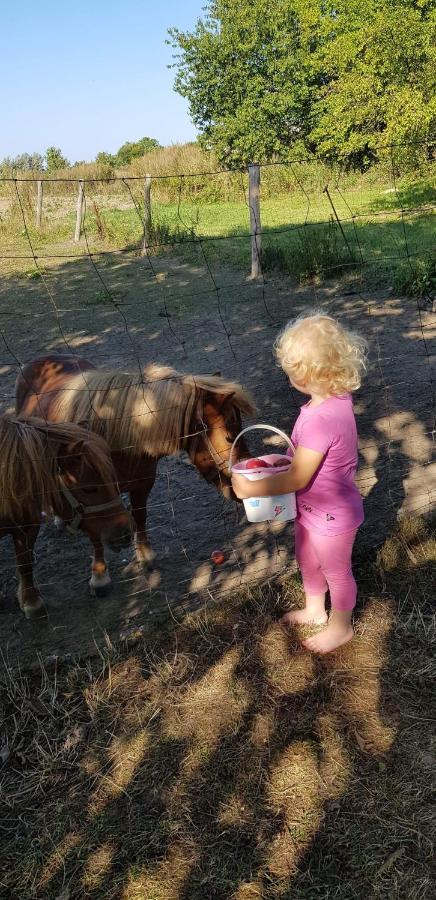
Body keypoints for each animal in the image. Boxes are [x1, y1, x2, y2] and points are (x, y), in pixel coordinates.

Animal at [16, 356, 255, 596]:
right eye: (229, 437)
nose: (243, 490)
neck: (117, 439)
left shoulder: (142, 484)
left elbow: (140, 516)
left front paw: (145, 554)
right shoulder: (92, 498)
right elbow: (96, 536)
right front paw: (99, 576)